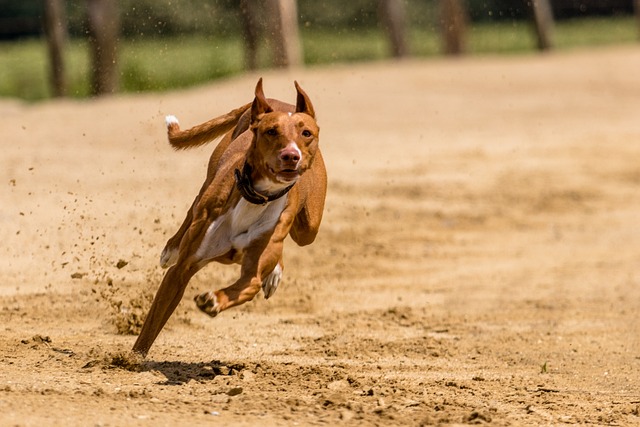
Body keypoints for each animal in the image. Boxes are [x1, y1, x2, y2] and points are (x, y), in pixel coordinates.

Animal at [133, 79, 328, 358]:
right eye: (271, 131)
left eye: (306, 133)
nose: (291, 155)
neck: (258, 197)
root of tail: (279, 101)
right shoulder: (181, 270)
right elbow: (152, 322)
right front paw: (131, 358)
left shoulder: (254, 268)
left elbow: (248, 284)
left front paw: (214, 300)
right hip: (211, 180)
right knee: (195, 205)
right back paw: (171, 247)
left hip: (309, 228)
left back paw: (274, 272)